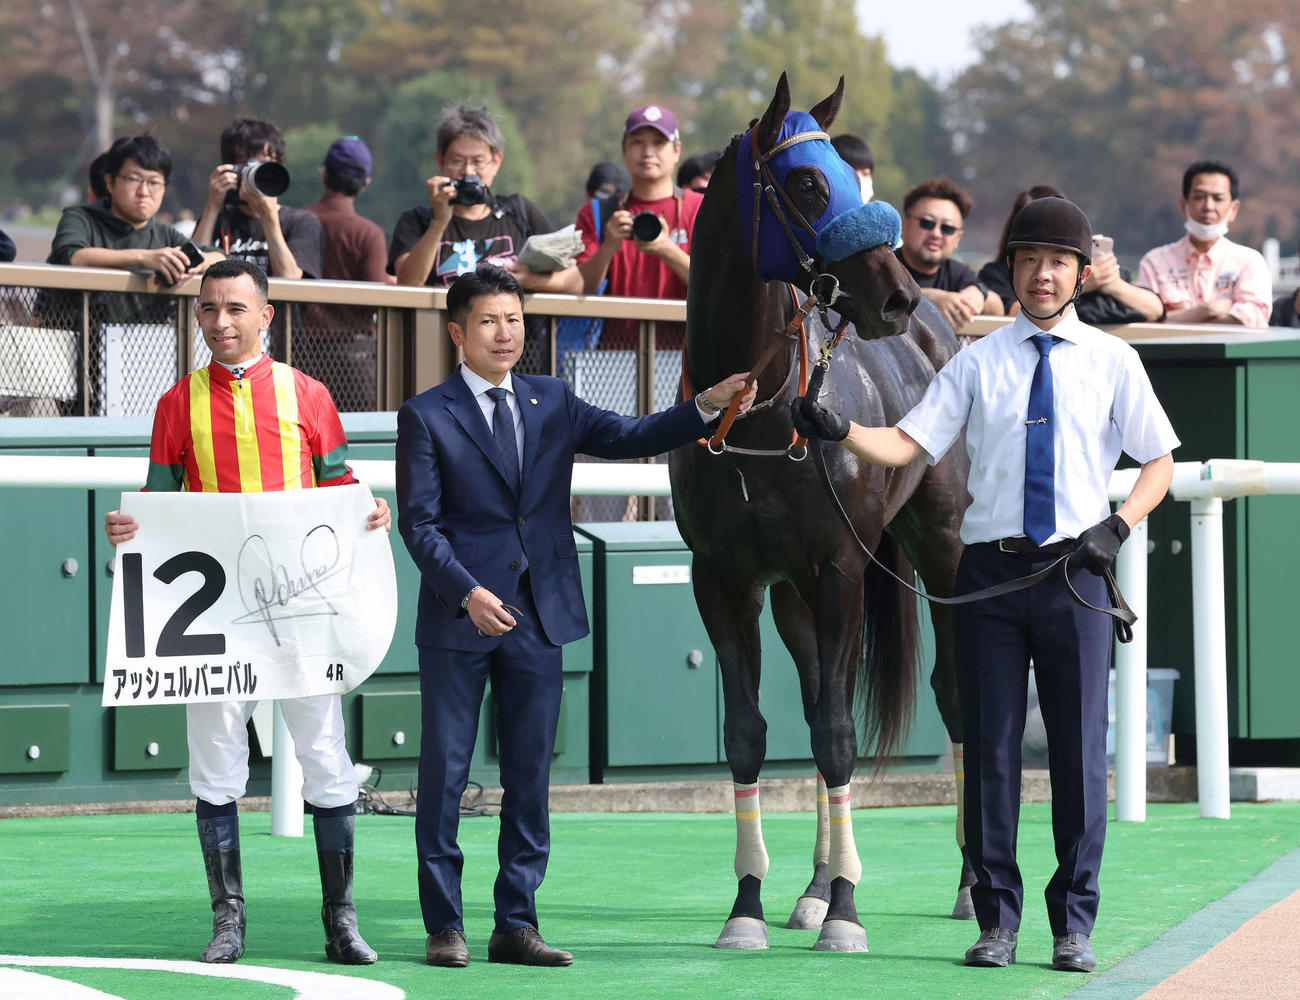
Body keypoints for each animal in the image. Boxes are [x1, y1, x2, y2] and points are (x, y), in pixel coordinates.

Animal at [668, 73, 972, 952]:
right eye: (806, 182)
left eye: (849, 175)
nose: (898, 294)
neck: (758, 416)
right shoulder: (725, 580)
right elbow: (751, 733)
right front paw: (750, 906)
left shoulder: (840, 568)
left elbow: (839, 735)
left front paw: (846, 912)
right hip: (796, 596)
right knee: (813, 699)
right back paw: (812, 884)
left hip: (941, 551)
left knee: (956, 697)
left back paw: (970, 884)